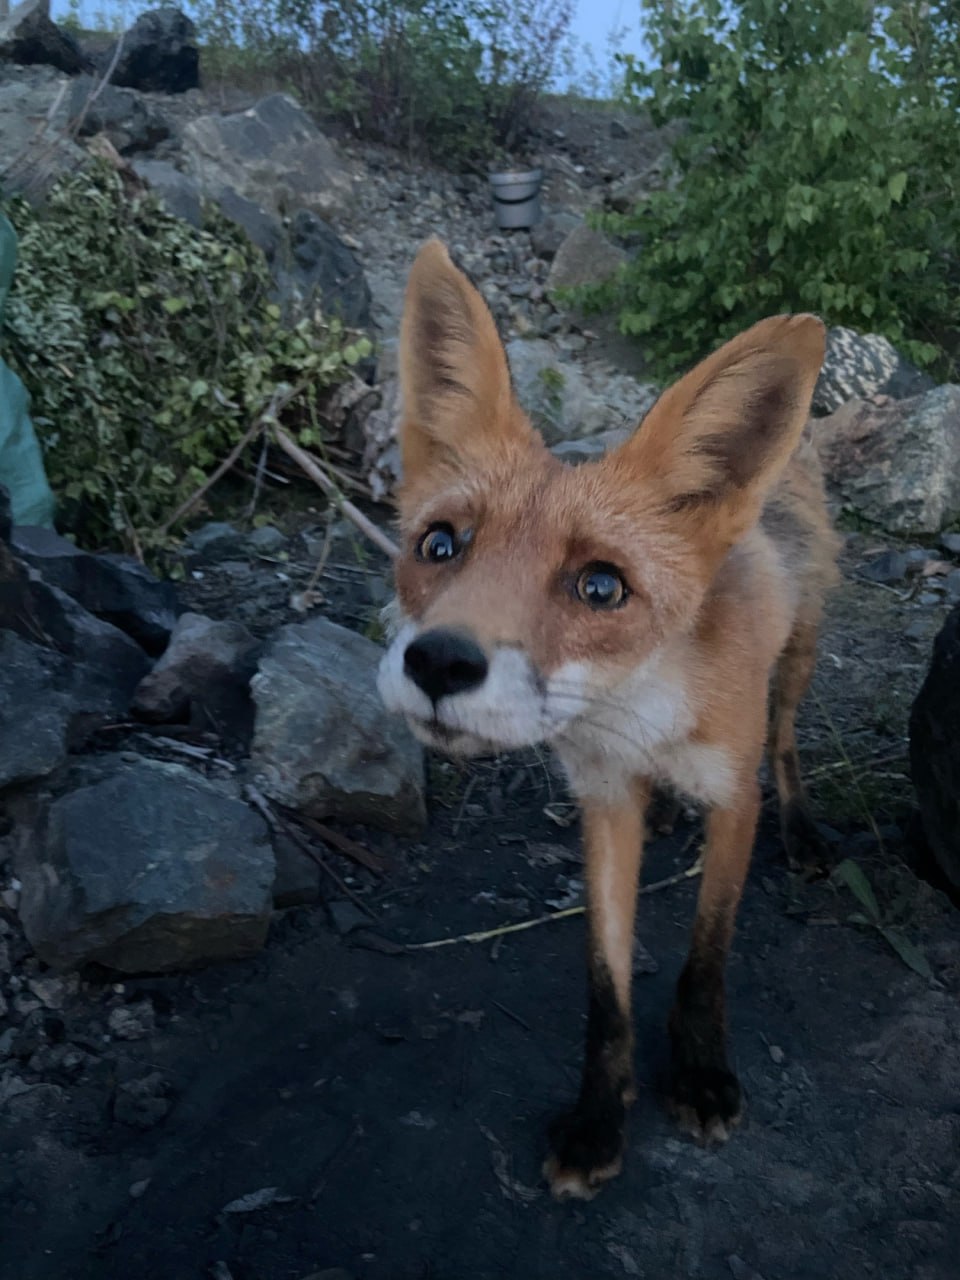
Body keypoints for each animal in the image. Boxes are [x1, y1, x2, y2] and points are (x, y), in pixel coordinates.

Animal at [376, 238, 839, 1198]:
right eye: (439, 544)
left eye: (601, 587)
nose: (438, 662)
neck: (639, 713)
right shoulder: (603, 799)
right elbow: (606, 986)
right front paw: (598, 1120)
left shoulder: (733, 799)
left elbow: (706, 958)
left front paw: (700, 1074)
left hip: (800, 660)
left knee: (787, 744)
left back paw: (806, 828)